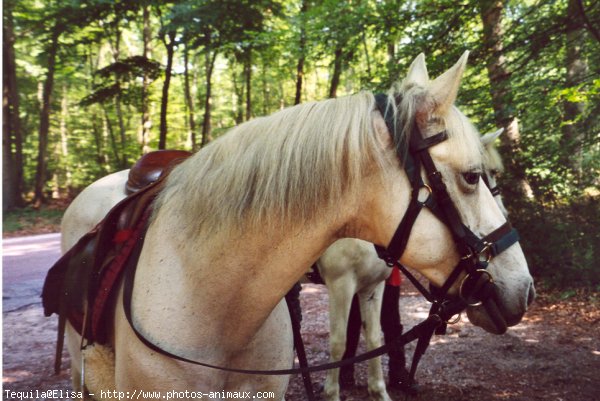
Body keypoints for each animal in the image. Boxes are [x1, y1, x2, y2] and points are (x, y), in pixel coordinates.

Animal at [57, 53, 536, 400]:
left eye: (493, 177)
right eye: (473, 177)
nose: (525, 289)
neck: (212, 297)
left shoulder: (373, 286)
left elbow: (374, 336)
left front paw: (377, 389)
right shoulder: (341, 284)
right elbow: (341, 341)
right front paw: (333, 391)